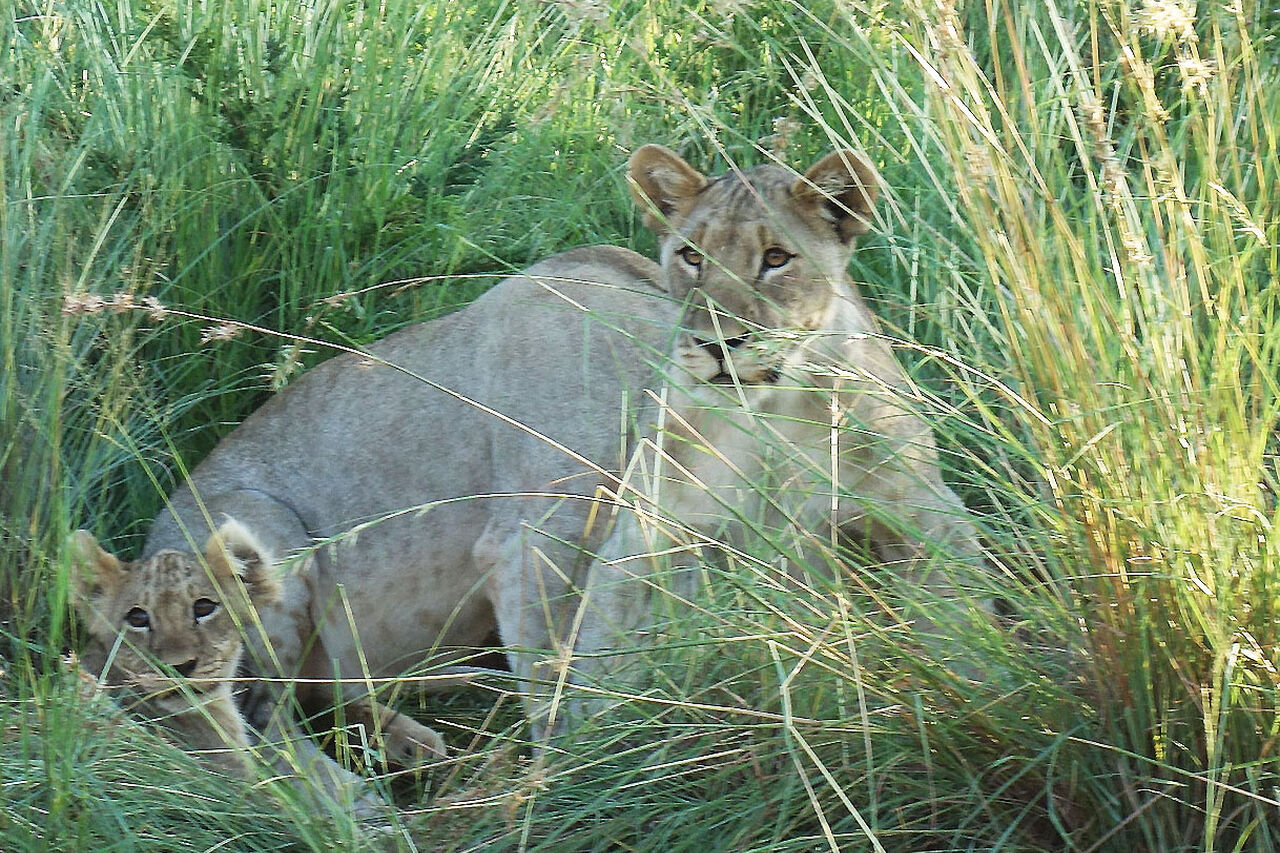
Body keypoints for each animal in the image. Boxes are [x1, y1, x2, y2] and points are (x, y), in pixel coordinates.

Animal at [136, 142, 985, 746]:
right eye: (693, 255)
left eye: (777, 258)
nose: (718, 345)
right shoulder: (538, 543)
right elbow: (563, 679)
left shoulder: (913, 506)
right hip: (254, 541)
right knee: (250, 730)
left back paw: (412, 741)